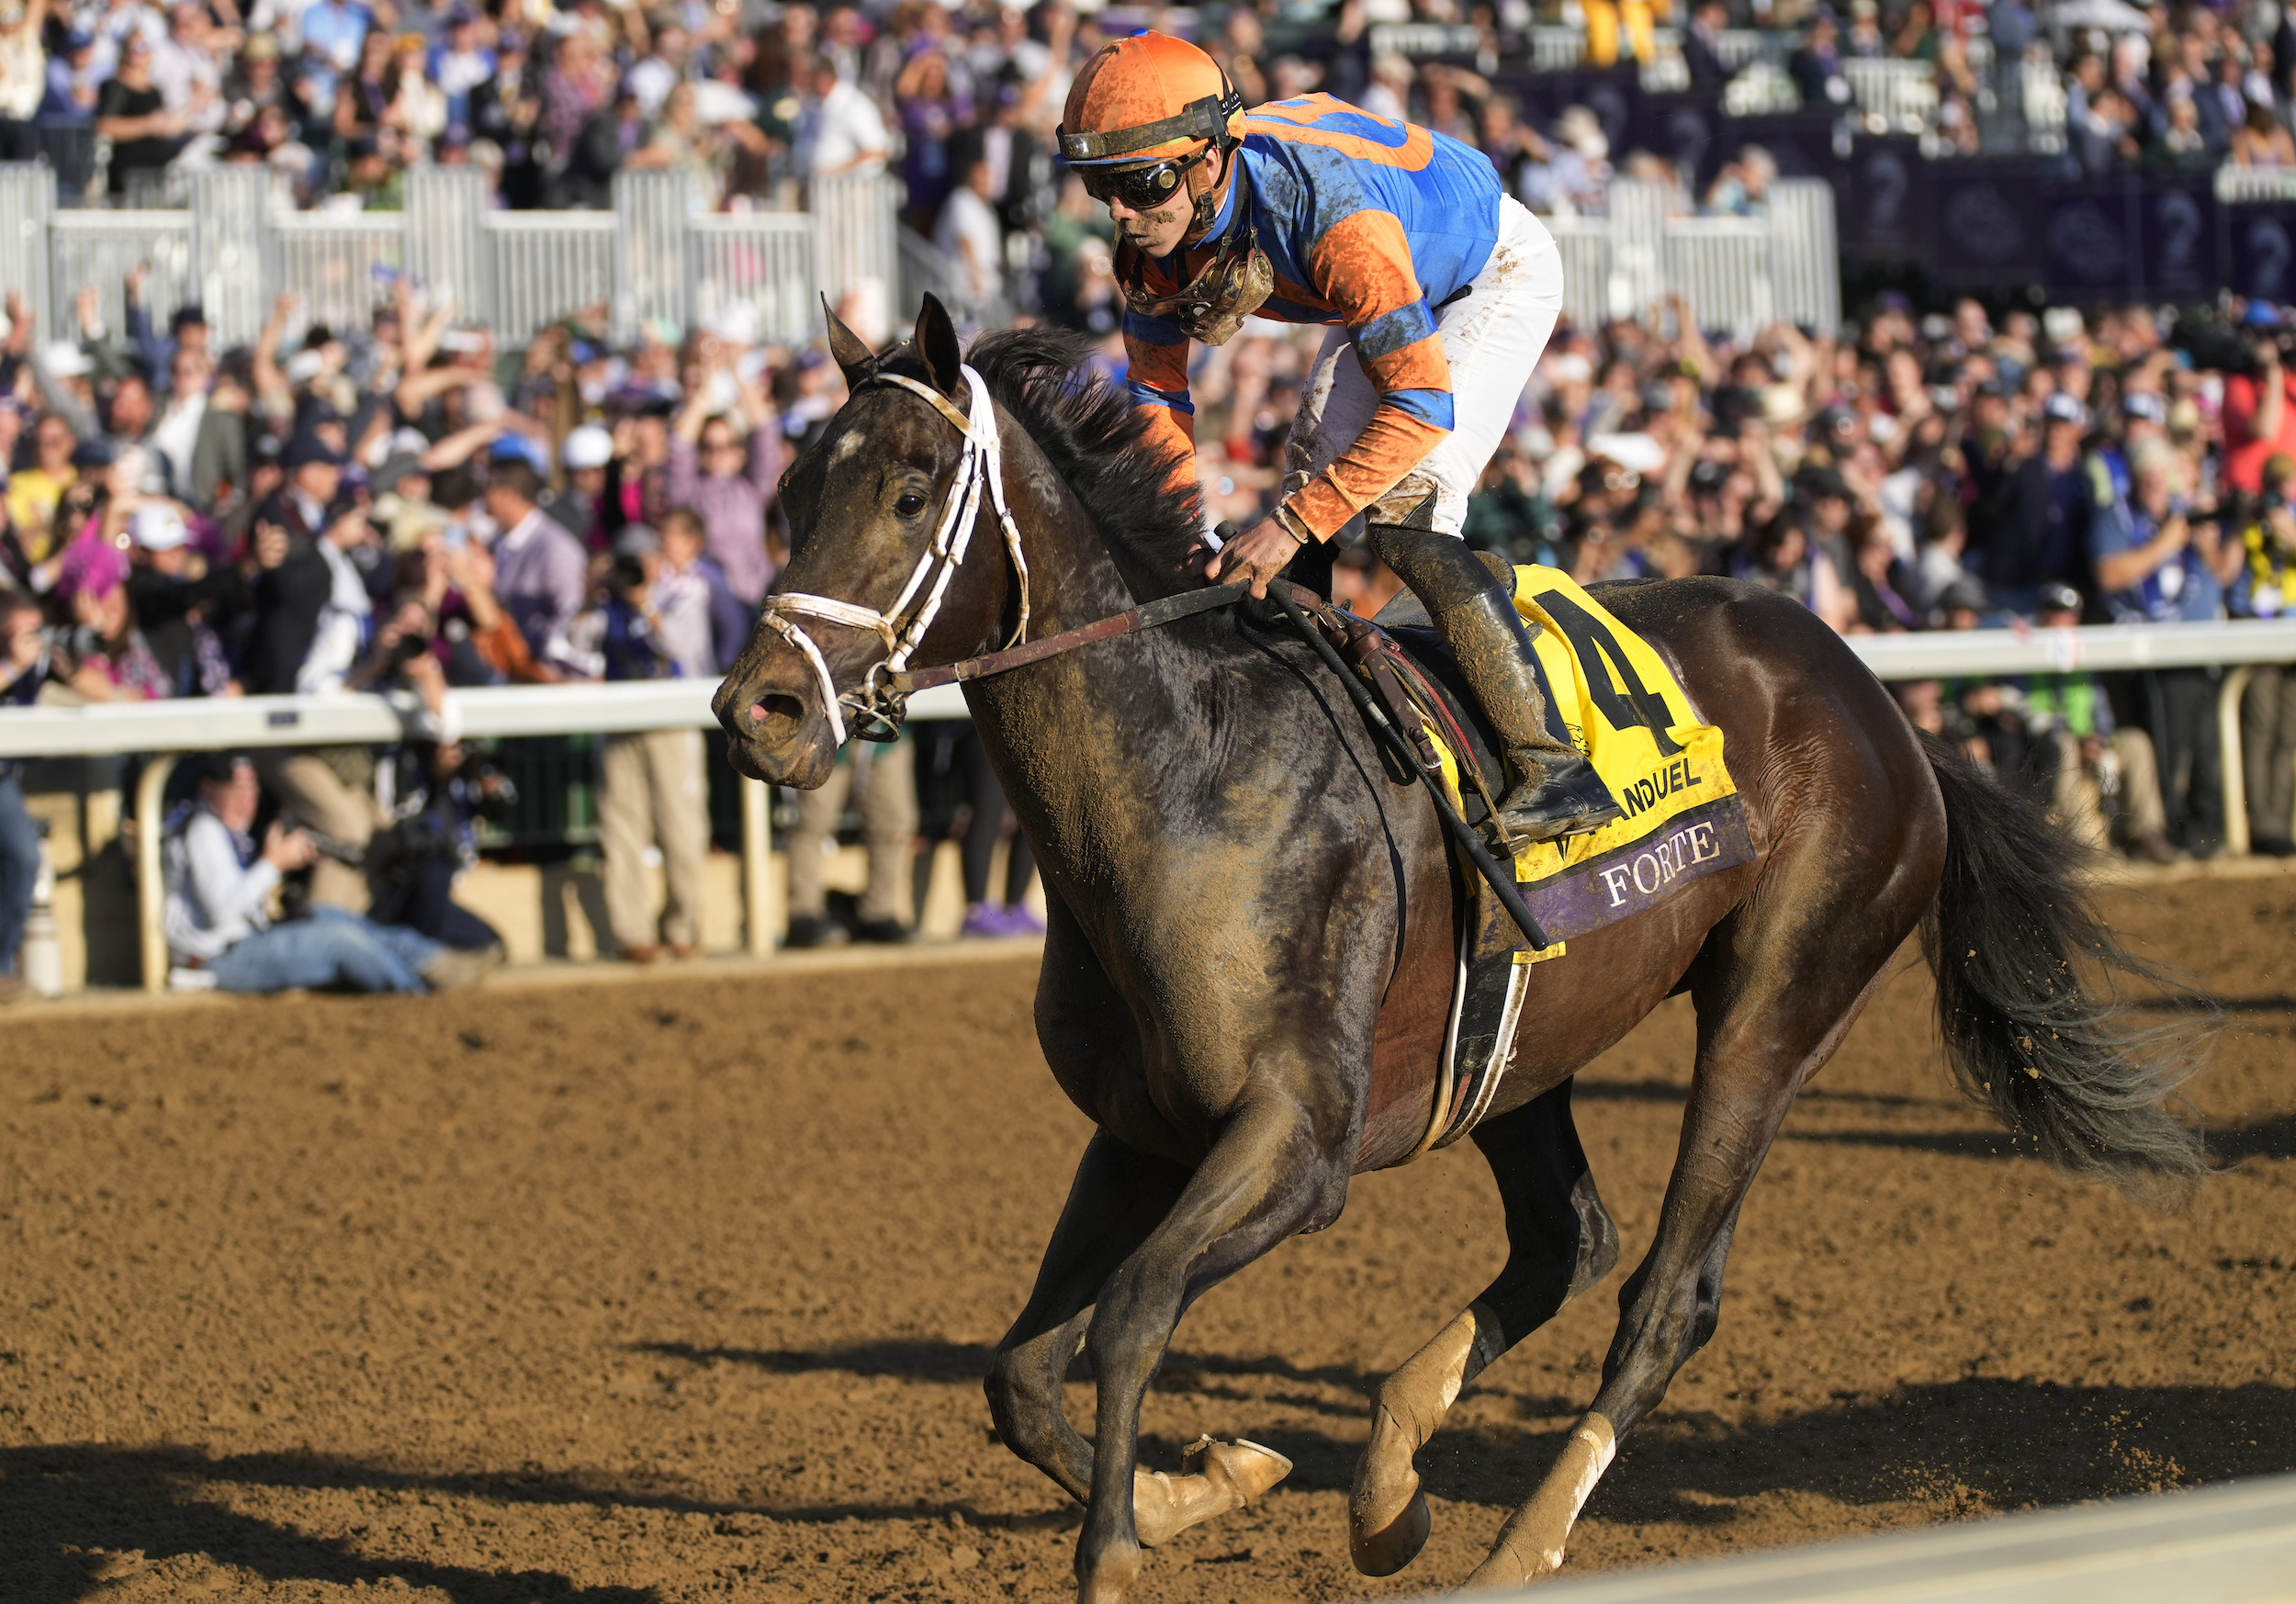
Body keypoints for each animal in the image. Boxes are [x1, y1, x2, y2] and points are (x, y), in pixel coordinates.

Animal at [712, 297, 2204, 1597]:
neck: (1186, 776)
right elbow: (1020, 1373)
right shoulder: (1140, 1130)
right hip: (1519, 1044)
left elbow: (1131, 1312)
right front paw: (1210, 1483)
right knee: (1567, 1239)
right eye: (785, 491)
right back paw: (1388, 1480)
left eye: (912, 492)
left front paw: (1132, 1541)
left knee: (1666, 1294)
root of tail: (1880, 699)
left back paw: (1514, 1547)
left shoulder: (1299, 1142)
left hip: (1782, 1001)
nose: (759, 710)